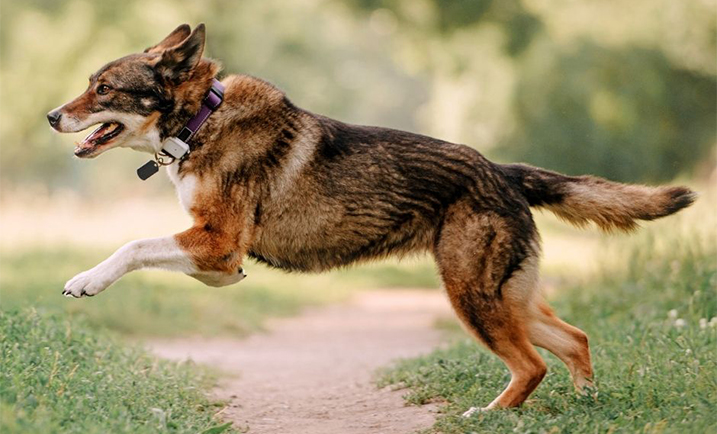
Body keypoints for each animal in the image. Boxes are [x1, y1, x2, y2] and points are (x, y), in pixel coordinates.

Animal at [46, 24, 692, 414]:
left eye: (103, 88)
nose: (51, 116)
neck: (198, 121)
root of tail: (505, 173)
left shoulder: (218, 239)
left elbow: (133, 246)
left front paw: (86, 281)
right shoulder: (216, 251)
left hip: (472, 296)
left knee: (532, 365)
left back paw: (489, 415)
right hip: (507, 297)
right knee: (574, 340)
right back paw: (586, 406)